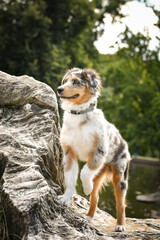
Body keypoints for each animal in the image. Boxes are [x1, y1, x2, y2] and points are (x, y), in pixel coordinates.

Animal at [57, 68, 131, 232]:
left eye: (76, 82)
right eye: (65, 81)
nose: (59, 89)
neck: (79, 116)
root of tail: (124, 143)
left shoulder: (98, 152)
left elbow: (84, 172)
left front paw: (86, 188)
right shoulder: (69, 153)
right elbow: (70, 178)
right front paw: (65, 199)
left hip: (120, 175)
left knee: (121, 203)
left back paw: (120, 225)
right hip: (99, 173)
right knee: (95, 197)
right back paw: (89, 217)